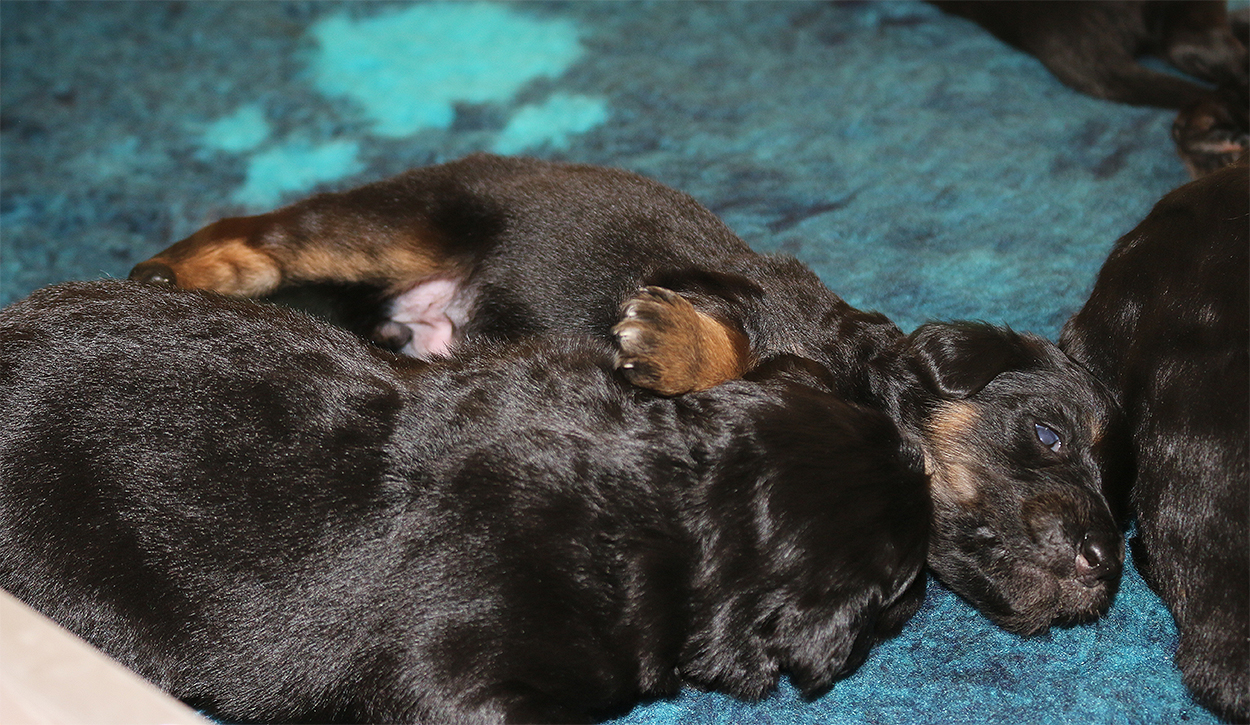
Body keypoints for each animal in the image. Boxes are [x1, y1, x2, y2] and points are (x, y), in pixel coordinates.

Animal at [128, 154, 1125, 635]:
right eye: (1049, 434)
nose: (1104, 565)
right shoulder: (731, 290)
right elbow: (731, 341)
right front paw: (672, 341)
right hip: (403, 221)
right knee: (270, 230)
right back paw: (186, 270)